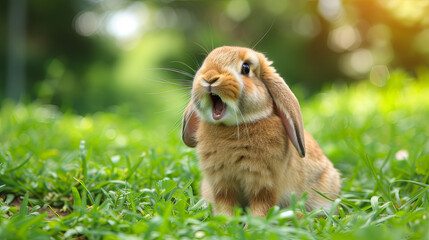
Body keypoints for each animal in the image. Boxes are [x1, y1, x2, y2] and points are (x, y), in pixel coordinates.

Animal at [181, 46, 342, 217]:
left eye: (246, 68)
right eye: (205, 62)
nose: (209, 77)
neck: (232, 126)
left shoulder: (264, 185)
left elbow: (261, 207)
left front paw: (252, 223)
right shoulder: (222, 185)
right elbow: (225, 206)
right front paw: (225, 221)